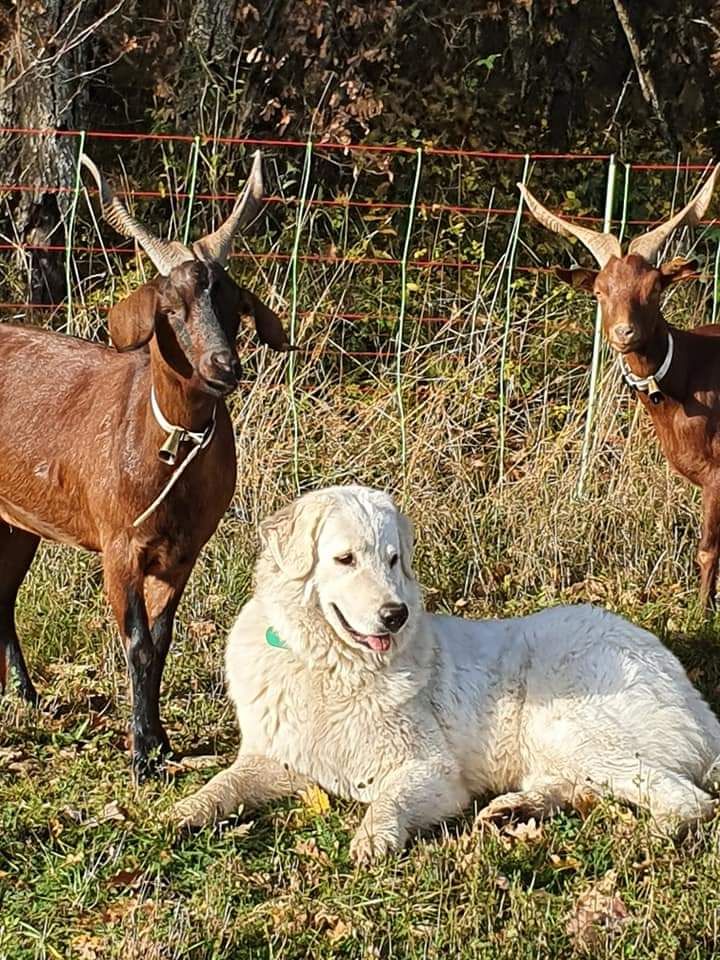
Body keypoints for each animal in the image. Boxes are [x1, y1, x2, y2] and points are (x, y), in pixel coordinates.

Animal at [2, 152, 292, 780]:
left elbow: (160, 641)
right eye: (170, 308)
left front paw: (160, 743)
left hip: (16, 523)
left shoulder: (184, 549)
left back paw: (29, 698)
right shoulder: (118, 542)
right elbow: (135, 641)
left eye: (232, 303)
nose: (224, 366)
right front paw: (140, 753)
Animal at [174, 484, 720, 860]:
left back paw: (649, 836)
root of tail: (694, 697)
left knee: (688, 799)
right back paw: (513, 810)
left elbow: (388, 799)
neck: (331, 667)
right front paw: (186, 811)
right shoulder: (280, 760)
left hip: (572, 723)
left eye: (394, 560)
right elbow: (225, 783)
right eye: (344, 559)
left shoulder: (430, 770)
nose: (395, 615)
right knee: (577, 786)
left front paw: (374, 837)